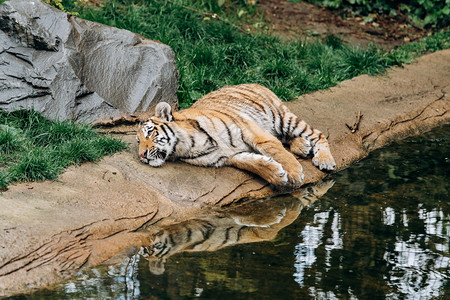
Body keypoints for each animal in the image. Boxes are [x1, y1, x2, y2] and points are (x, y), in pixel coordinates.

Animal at [136, 82, 334, 185]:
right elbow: (253, 164)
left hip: (283, 119)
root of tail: (255, 82)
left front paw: (294, 173)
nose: (142, 155)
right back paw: (302, 146)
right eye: (138, 142)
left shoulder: (253, 133)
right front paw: (277, 175)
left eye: (150, 133)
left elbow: (277, 151)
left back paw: (325, 160)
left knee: (318, 135)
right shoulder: (229, 156)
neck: (187, 144)